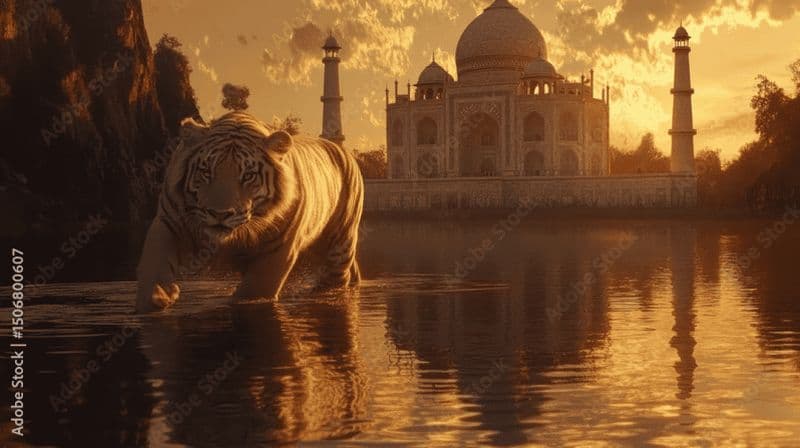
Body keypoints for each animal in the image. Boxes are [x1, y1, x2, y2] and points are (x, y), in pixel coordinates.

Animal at [135, 111, 364, 313]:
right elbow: (152, 265)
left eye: (248, 175)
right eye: (206, 171)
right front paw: (159, 295)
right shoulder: (168, 222)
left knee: (337, 277)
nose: (219, 213)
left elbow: (252, 291)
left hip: (339, 246)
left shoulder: (278, 249)